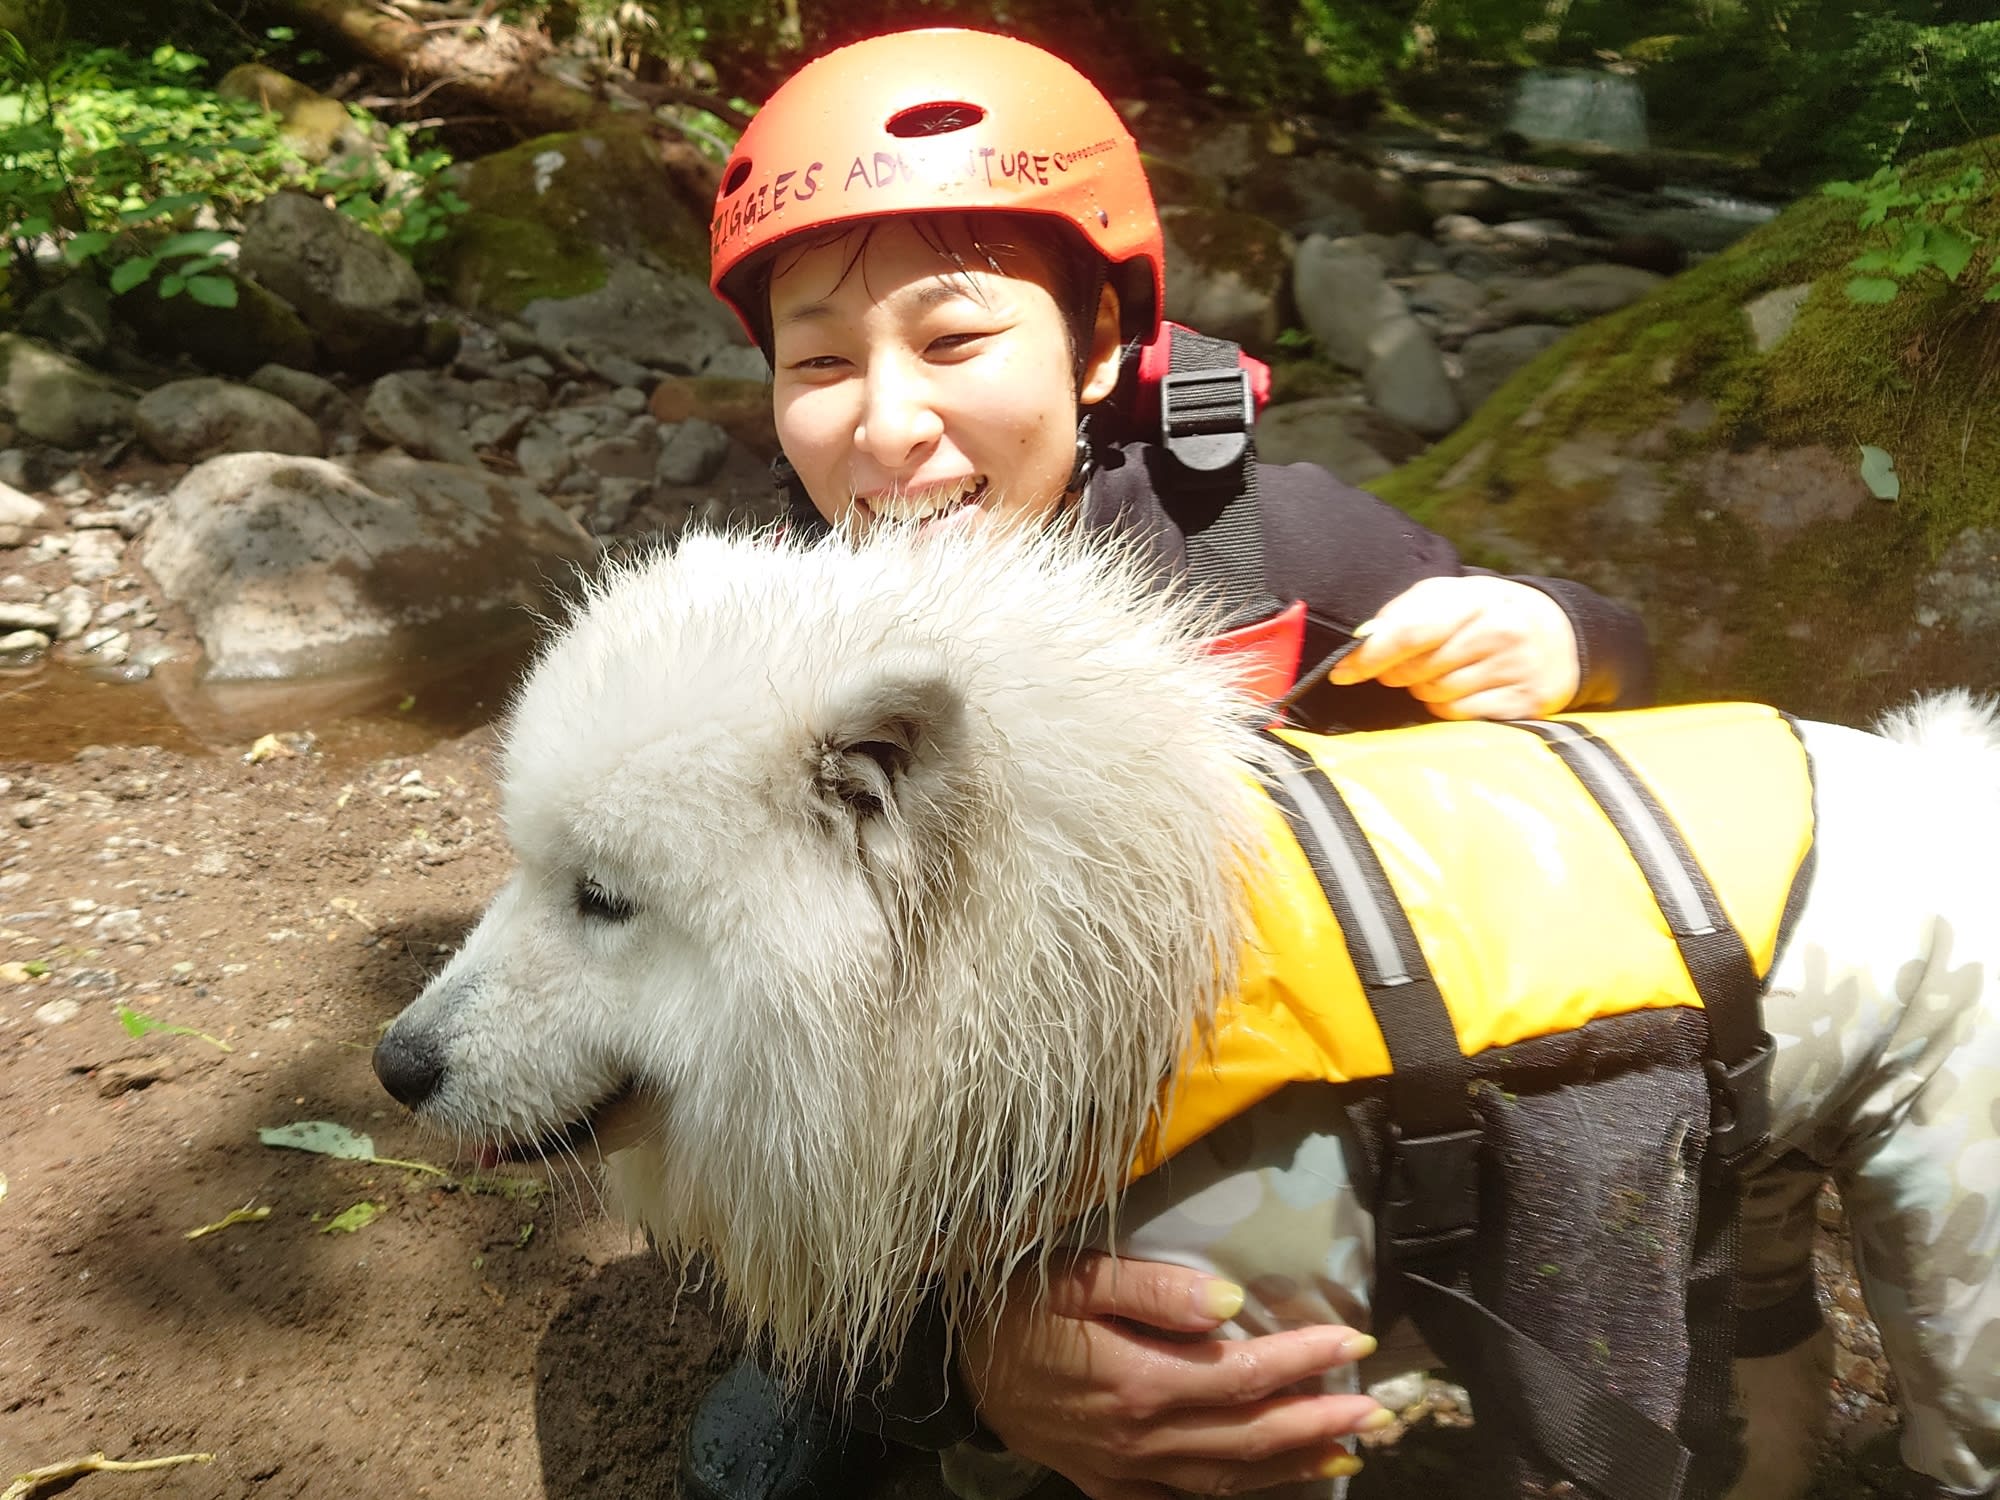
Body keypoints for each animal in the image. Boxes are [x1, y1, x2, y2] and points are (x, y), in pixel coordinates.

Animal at [378, 524, 2000, 1496]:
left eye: (604, 898)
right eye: (524, 867)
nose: (396, 1063)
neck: (1104, 973)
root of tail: (1946, 780)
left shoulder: (1262, 1361)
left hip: (1946, 1262)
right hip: (1762, 1191)